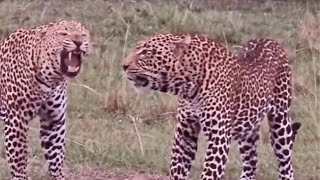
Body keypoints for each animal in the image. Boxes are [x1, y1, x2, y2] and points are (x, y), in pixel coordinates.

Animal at [0, 20, 90, 179]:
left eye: (83, 34)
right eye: (64, 34)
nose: (79, 42)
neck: (51, 78)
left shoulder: (53, 119)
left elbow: (56, 155)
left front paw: (59, 176)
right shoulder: (16, 119)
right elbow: (19, 158)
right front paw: (21, 177)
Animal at [122, 33, 300, 179]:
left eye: (147, 53)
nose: (124, 66)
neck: (187, 87)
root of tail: (269, 40)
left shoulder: (218, 135)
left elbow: (210, 172)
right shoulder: (185, 132)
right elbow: (177, 168)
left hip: (280, 121)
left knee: (286, 163)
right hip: (247, 128)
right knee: (251, 161)